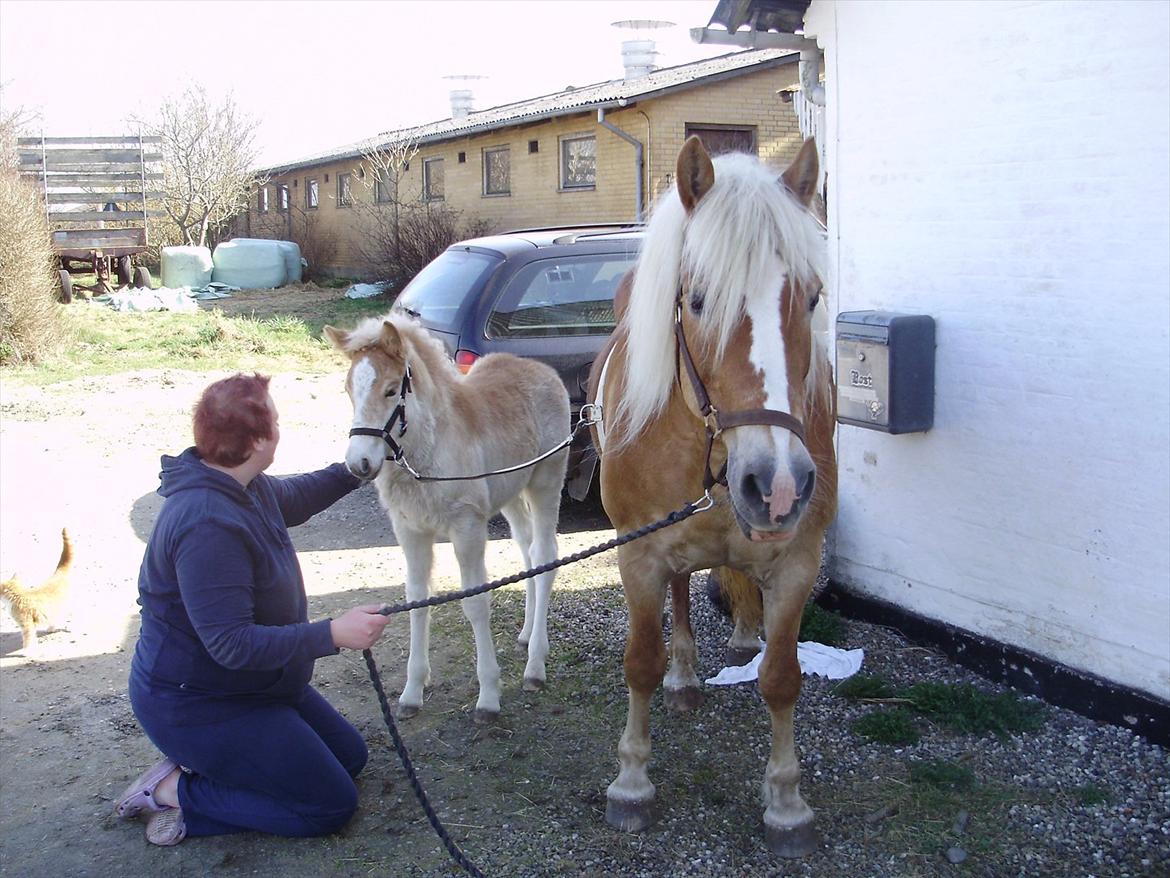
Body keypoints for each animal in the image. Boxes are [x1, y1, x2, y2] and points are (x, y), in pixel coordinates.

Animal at [325, 316, 570, 721]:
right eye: (347, 390)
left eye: (390, 390)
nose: (358, 464)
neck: (427, 455)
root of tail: (543, 369)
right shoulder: (409, 529)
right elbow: (416, 598)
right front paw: (411, 692)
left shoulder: (467, 527)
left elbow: (474, 602)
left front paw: (488, 696)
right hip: (510, 494)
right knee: (528, 550)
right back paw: (525, 636)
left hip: (546, 482)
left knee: (546, 555)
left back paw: (535, 665)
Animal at [589, 139, 837, 861]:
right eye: (696, 301)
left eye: (812, 297)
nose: (778, 485)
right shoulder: (639, 556)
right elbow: (640, 662)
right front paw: (631, 782)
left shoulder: (797, 562)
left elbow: (782, 677)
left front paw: (786, 802)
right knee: (679, 595)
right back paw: (685, 676)